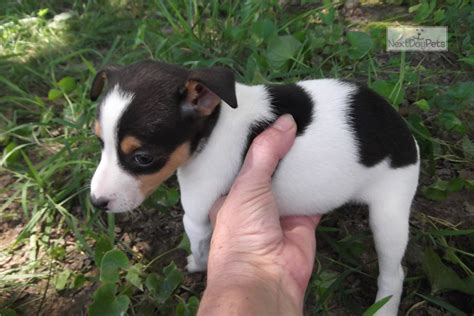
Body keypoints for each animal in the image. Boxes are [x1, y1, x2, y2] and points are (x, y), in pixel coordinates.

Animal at [89, 59, 418, 314]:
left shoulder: (196, 217)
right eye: (100, 142)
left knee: (394, 272)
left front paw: (197, 265)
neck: (215, 126)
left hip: (389, 213)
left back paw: (385, 307)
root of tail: (403, 131)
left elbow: (200, 247)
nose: (95, 202)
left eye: (143, 158)